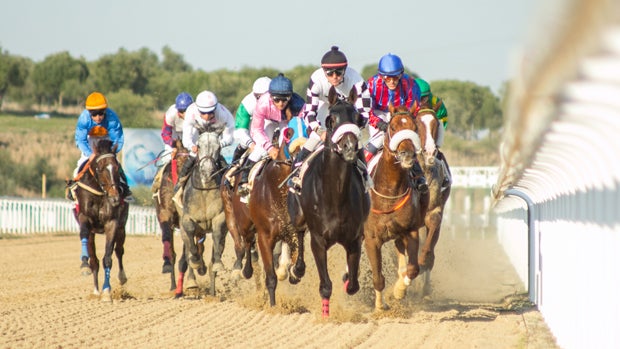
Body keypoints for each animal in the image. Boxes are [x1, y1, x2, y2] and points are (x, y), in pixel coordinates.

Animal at [222, 121, 306, 306]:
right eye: (294, 150)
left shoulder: (295, 230)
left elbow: (298, 262)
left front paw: (293, 272)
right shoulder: (264, 236)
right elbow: (271, 277)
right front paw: (273, 307)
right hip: (241, 222)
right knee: (245, 244)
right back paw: (243, 270)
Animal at [286, 87, 368, 318]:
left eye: (358, 118)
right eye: (331, 119)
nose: (349, 147)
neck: (335, 195)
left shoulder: (354, 239)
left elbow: (353, 285)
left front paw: (347, 279)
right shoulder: (318, 240)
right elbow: (325, 286)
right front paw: (325, 316)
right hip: (297, 216)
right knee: (299, 234)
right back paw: (296, 271)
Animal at [364, 104, 426, 310]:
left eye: (415, 128)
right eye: (392, 127)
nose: (407, 155)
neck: (389, 192)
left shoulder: (410, 231)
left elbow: (412, 269)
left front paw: (399, 290)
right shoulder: (371, 238)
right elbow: (378, 277)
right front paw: (379, 306)